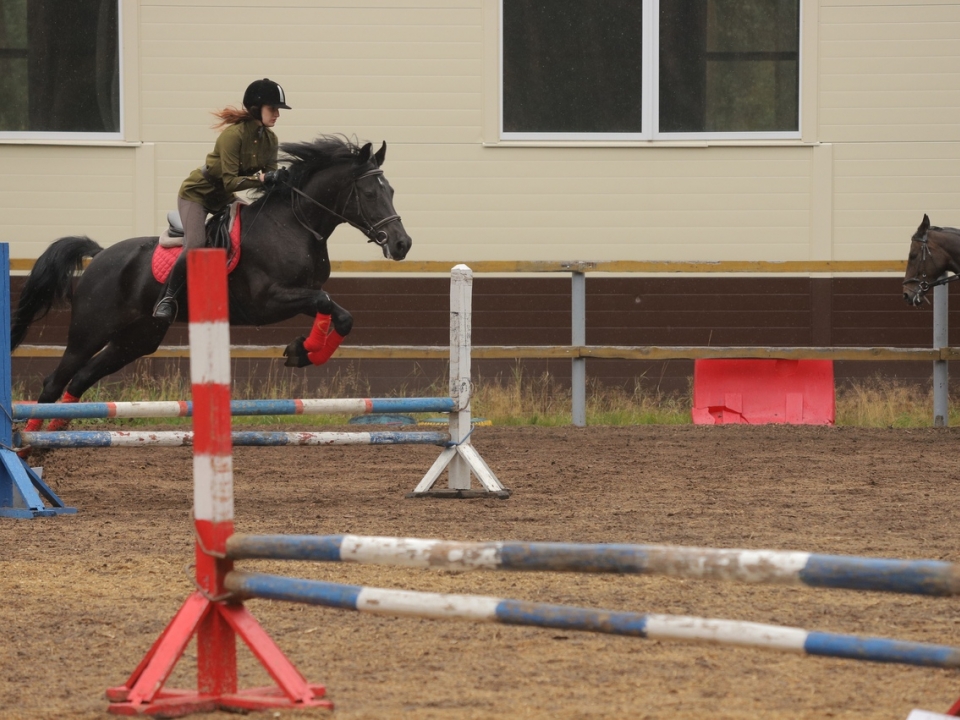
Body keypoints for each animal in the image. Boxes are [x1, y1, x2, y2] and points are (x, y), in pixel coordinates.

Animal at [10, 135, 412, 414]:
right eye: (370, 193)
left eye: (391, 190)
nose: (402, 243)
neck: (295, 224)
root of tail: (100, 255)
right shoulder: (268, 301)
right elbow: (328, 303)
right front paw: (303, 350)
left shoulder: (300, 295)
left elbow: (339, 314)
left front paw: (302, 351)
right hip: (90, 331)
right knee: (55, 381)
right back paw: (31, 449)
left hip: (137, 338)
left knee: (80, 379)